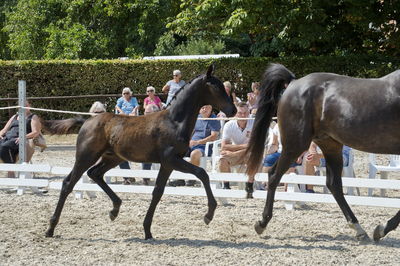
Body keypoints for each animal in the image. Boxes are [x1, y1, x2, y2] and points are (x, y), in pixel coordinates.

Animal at [45, 65, 236, 240]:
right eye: (216, 87)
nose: (233, 110)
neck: (174, 121)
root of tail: (86, 121)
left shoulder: (168, 164)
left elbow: (158, 191)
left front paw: (147, 231)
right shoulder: (172, 160)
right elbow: (202, 173)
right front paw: (208, 215)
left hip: (112, 158)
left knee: (95, 173)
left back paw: (115, 209)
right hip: (86, 156)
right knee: (68, 183)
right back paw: (50, 229)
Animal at [245, 63, 398, 242]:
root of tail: (293, 82)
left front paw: (382, 229)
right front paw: (382, 229)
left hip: (330, 145)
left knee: (333, 184)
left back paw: (358, 228)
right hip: (295, 144)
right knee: (274, 175)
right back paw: (262, 223)